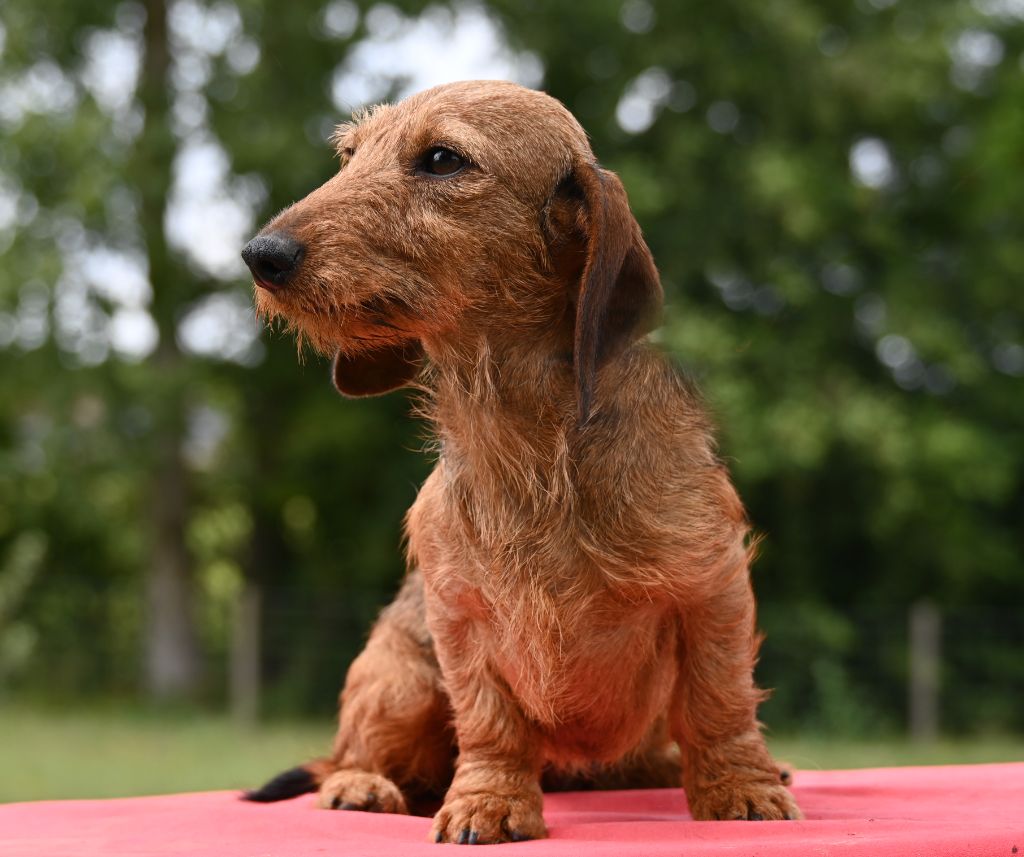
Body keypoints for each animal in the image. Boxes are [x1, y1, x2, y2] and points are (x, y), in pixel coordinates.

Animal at [241, 78, 798, 843]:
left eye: (442, 159)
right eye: (351, 156)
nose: (261, 255)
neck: (529, 436)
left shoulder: (712, 587)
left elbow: (720, 700)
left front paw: (741, 786)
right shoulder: (461, 617)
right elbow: (490, 722)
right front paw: (490, 800)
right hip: (398, 679)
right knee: (349, 756)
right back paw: (362, 784)